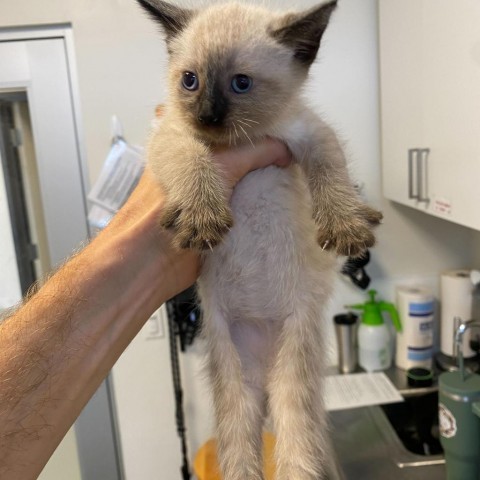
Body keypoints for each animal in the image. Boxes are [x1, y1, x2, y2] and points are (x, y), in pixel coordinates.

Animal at [137, 1, 380, 478]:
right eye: (190, 80)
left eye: (241, 83)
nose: (208, 117)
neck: (239, 141)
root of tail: (266, 379)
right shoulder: (171, 135)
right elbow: (193, 158)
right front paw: (202, 217)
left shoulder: (311, 136)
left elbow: (333, 176)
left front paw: (346, 225)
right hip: (235, 388)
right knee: (240, 455)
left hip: (292, 382)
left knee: (296, 453)